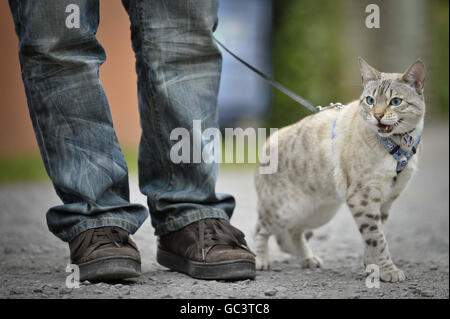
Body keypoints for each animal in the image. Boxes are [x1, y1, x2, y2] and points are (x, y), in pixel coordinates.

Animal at [253, 57, 426, 282]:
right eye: (370, 100)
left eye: (395, 102)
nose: (378, 116)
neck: (401, 144)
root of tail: (268, 140)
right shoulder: (363, 197)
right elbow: (377, 239)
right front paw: (388, 271)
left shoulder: (386, 200)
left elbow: (374, 237)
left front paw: (371, 267)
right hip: (284, 209)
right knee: (260, 229)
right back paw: (260, 260)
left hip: (318, 212)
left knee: (293, 231)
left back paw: (307, 259)